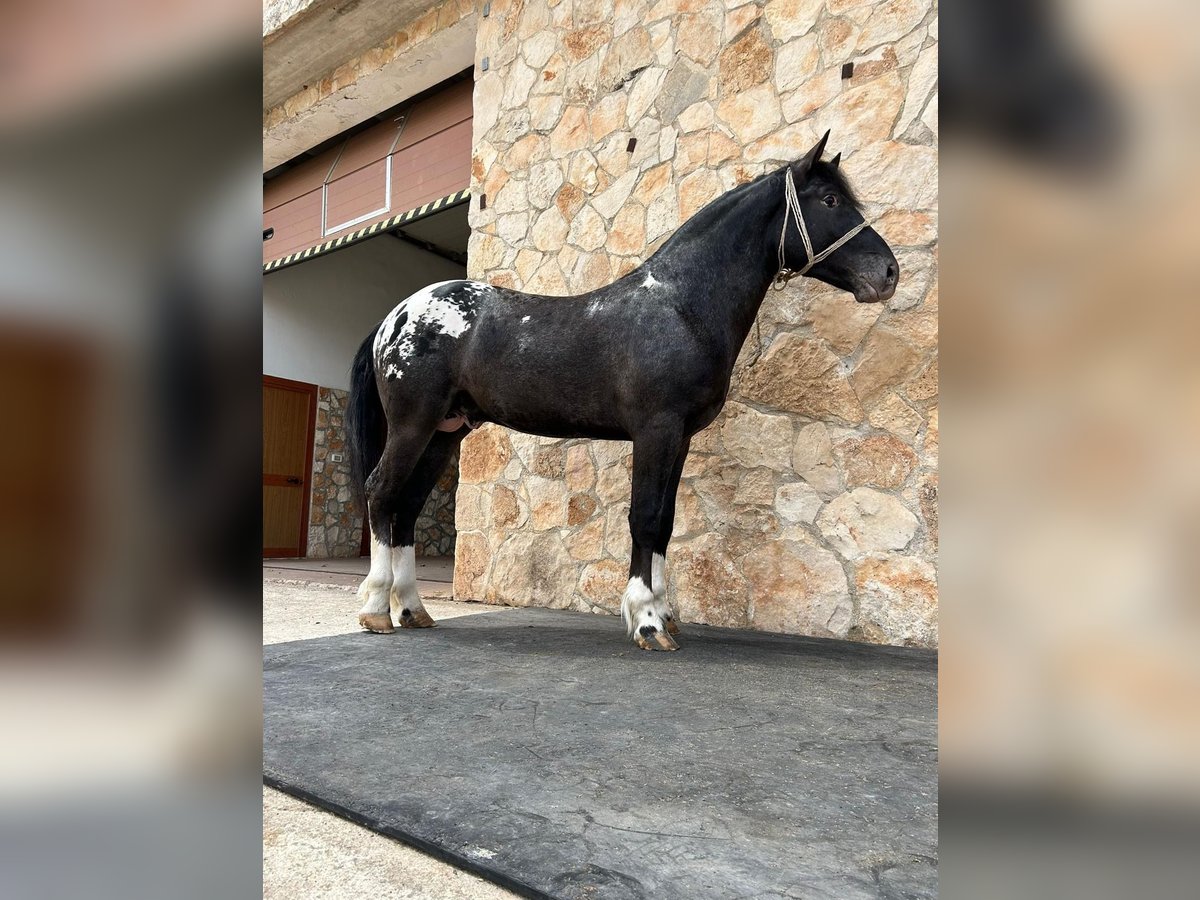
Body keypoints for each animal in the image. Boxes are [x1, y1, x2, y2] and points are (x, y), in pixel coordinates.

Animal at [343, 133, 897, 652]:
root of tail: (396, 316)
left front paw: (664, 615)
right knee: (381, 492)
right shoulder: (656, 430)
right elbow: (645, 518)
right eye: (829, 199)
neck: (680, 307)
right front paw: (647, 621)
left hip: (444, 433)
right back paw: (375, 610)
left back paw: (413, 610)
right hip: (413, 425)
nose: (888, 272)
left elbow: (666, 522)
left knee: (407, 505)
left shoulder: (680, 438)